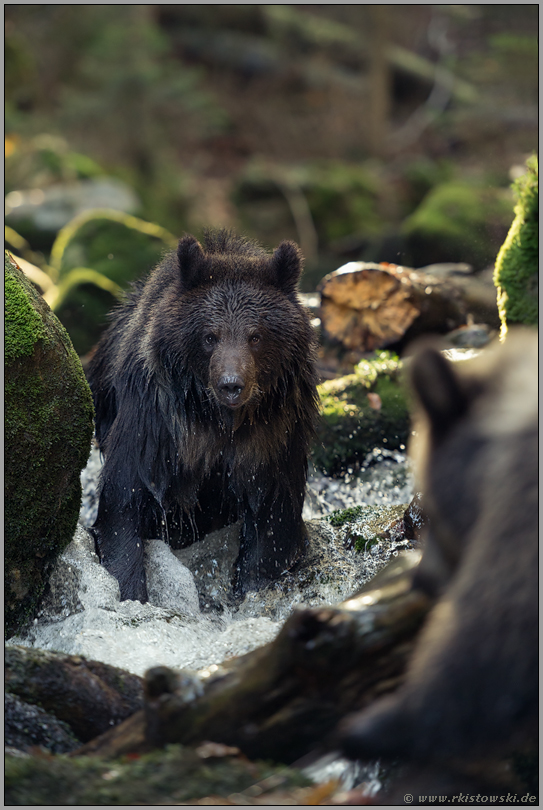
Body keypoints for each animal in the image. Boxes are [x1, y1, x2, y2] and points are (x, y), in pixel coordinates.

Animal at [87, 230, 320, 602]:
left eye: (256, 336)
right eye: (210, 336)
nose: (232, 385)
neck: (215, 417)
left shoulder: (274, 431)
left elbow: (272, 513)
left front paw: (253, 587)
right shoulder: (156, 423)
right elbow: (125, 495)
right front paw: (130, 590)